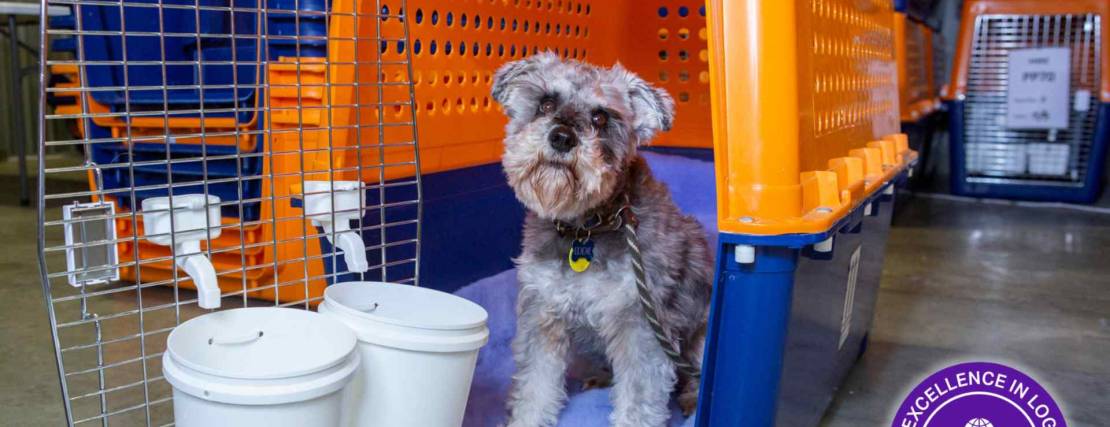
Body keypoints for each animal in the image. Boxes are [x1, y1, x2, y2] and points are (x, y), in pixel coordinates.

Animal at [492, 52, 713, 427]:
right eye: (546, 103)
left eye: (600, 117)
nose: (562, 137)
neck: (586, 227)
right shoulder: (543, 314)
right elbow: (535, 387)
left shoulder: (640, 326)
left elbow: (638, 401)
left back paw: (691, 400)